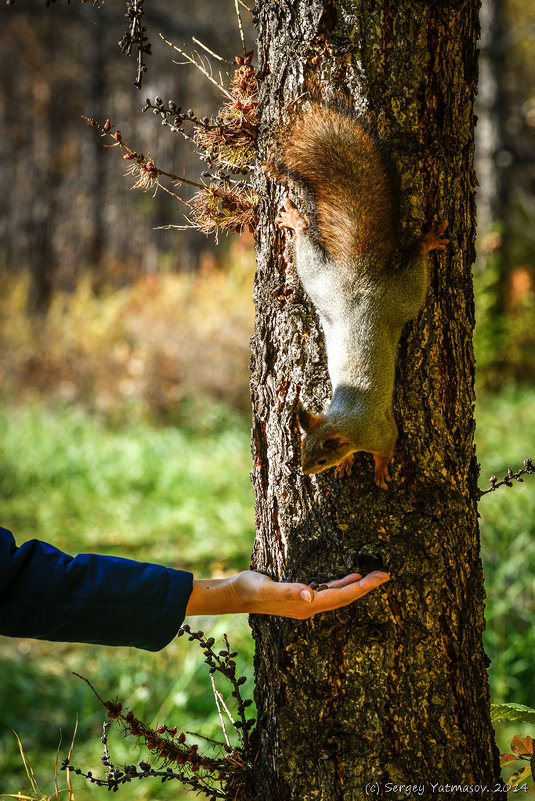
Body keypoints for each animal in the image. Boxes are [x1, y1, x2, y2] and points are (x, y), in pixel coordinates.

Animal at [270, 104, 450, 488]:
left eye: (321, 457)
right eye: (303, 448)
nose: (305, 470)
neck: (346, 420)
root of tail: (358, 275)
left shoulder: (382, 433)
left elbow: (387, 449)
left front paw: (378, 470)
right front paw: (349, 464)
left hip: (397, 296)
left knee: (415, 272)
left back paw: (425, 243)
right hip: (323, 287)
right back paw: (296, 221)